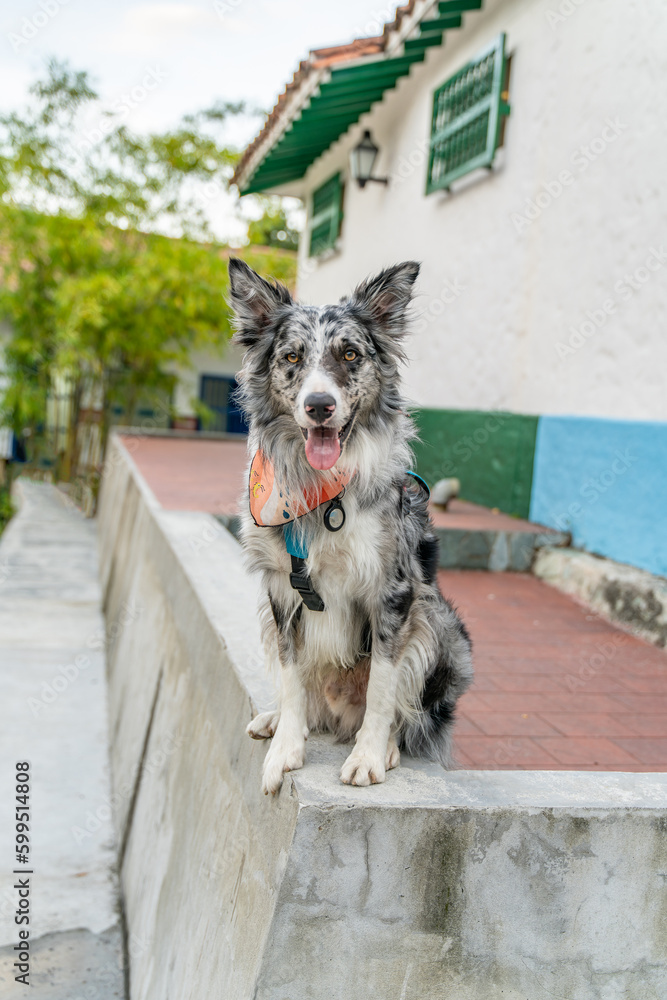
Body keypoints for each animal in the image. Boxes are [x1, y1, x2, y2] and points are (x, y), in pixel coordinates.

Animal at [230, 258, 474, 796]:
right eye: (292, 356)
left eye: (349, 354)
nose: (319, 405)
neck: (321, 494)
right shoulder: (280, 590)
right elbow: (291, 675)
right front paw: (286, 747)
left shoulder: (394, 592)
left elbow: (383, 685)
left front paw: (368, 756)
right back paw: (280, 719)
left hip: (439, 623)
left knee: (407, 712)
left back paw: (387, 745)